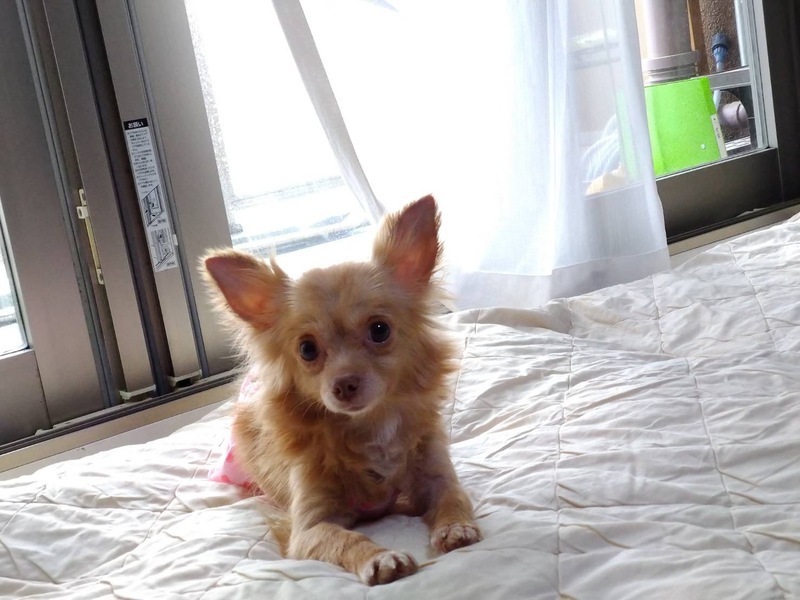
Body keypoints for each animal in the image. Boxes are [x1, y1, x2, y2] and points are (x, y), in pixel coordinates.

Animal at [203, 195, 481, 585]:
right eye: (307, 349)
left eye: (380, 330)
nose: (344, 383)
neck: (370, 429)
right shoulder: (309, 528)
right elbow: (345, 539)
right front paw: (380, 558)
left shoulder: (435, 476)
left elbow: (452, 497)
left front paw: (455, 527)